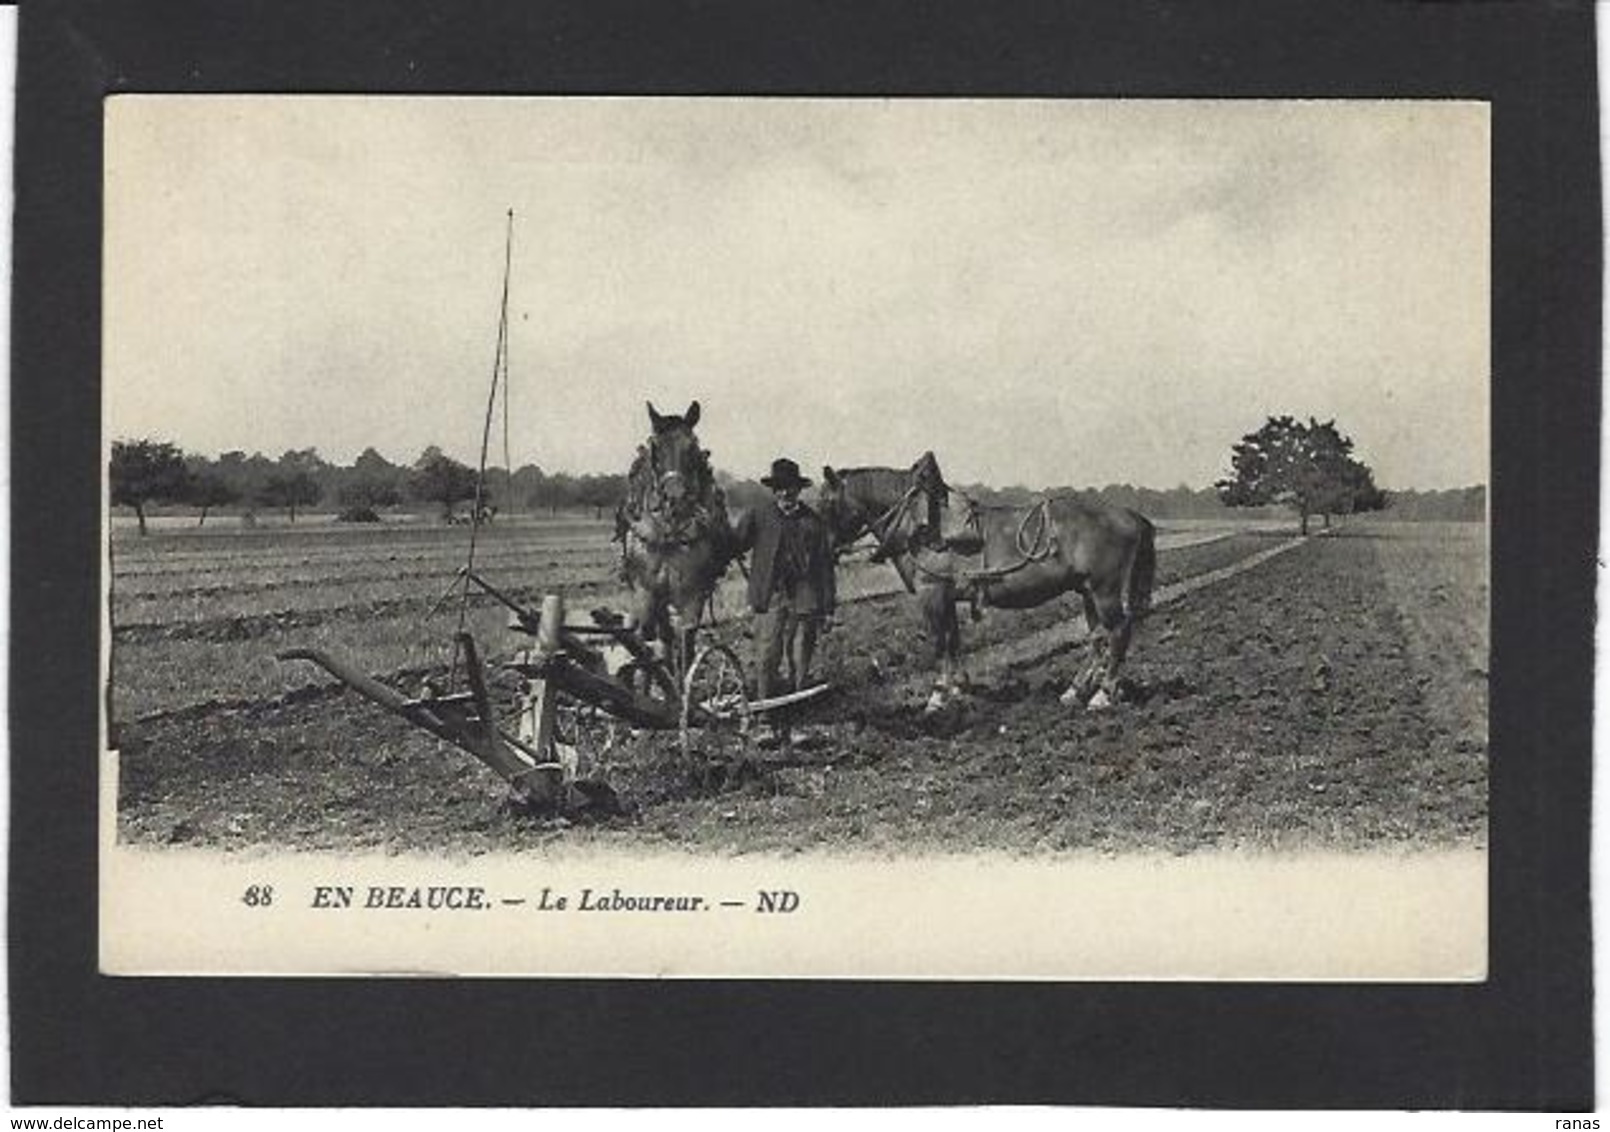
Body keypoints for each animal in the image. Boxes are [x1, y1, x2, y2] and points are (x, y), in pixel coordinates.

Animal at [817, 457, 1159, 711]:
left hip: (1105, 591)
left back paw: (1104, 694)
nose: (827, 549)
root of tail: (1130, 515)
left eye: (826, 504)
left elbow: (939, 643)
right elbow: (954, 641)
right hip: (1087, 591)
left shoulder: (932, 593)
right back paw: (1075, 691)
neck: (919, 523)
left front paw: (937, 695)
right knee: (1097, 639)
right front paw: (959, 688)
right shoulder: (946, 596)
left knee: (1117, 632)